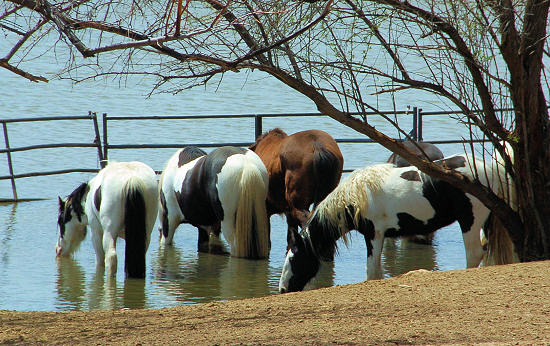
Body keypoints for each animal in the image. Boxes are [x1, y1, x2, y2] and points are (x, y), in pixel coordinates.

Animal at [280, 154, 512, 292]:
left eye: (294, 259)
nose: (282, 289)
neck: (357, 196)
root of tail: (491, 168)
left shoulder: (374, 235)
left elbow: (372, 272)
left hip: (469, 221)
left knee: (474, 254)